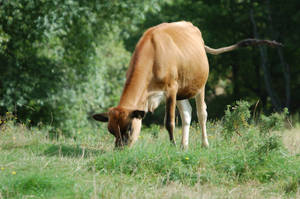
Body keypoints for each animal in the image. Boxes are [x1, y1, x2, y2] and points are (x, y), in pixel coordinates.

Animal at [92, 21, 282, 149]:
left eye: (129, 128)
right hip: (183, 90)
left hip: (200, 85)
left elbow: (169, 122)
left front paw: (172, 146)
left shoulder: (171, 89)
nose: (120, 149)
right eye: (111, 130)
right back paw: (185, 146)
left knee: (202, 113)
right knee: (187, 114)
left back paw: (204, 144)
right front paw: (178, 146)